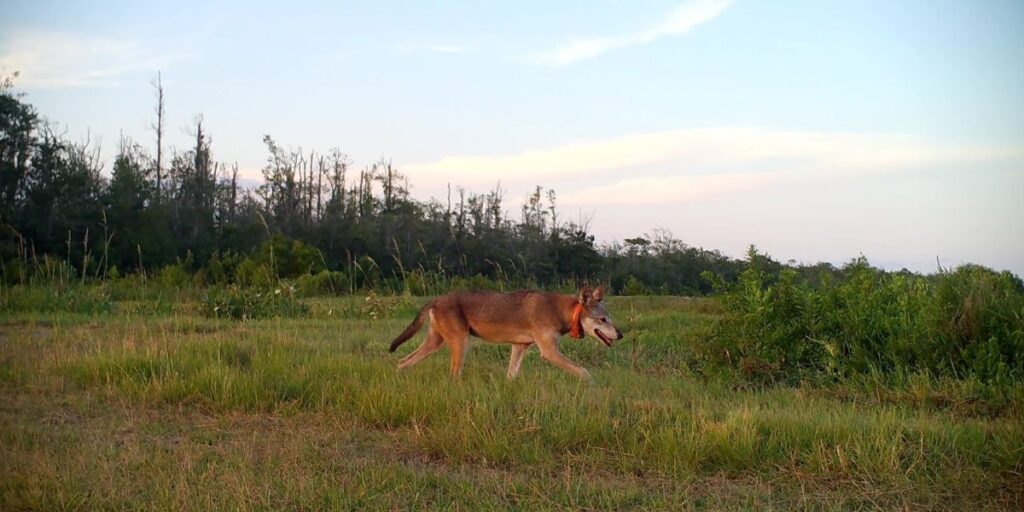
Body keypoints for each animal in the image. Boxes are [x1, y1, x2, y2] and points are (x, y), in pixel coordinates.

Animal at [385, 288, 618, 380]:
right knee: (453, 374)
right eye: (603, 319)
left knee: (402, 361)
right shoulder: (549, 352)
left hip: (435, 343)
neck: (559, 310)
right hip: (460, 344)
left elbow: (511, 376)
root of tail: (437, 299)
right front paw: (594, 388)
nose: (620, 335)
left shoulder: (519, 348)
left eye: (610, 318)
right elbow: (584, 372)